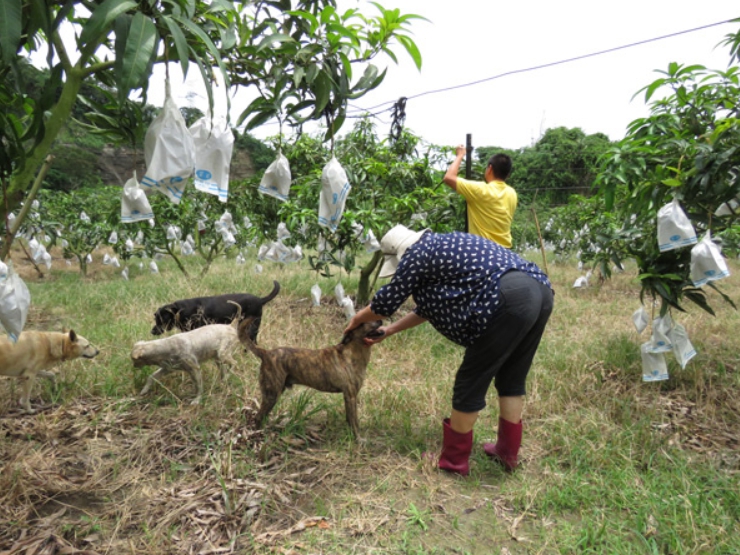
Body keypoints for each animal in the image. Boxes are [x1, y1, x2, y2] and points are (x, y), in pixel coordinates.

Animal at [150, 280, 280, 340]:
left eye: (162, 320)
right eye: (156, 319)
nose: (152, 331)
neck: (180, 311)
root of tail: (260, 300)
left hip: (251, 328)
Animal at [240, 318, 384, 438]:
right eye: (362, 322)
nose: (380, 320)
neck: (353, 352)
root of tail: (266, 353)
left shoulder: (349, 397)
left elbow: (351, 420)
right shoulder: (351, 395)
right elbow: (354, 422)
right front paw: (358, 440)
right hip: (272, 394)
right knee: (258, 417)